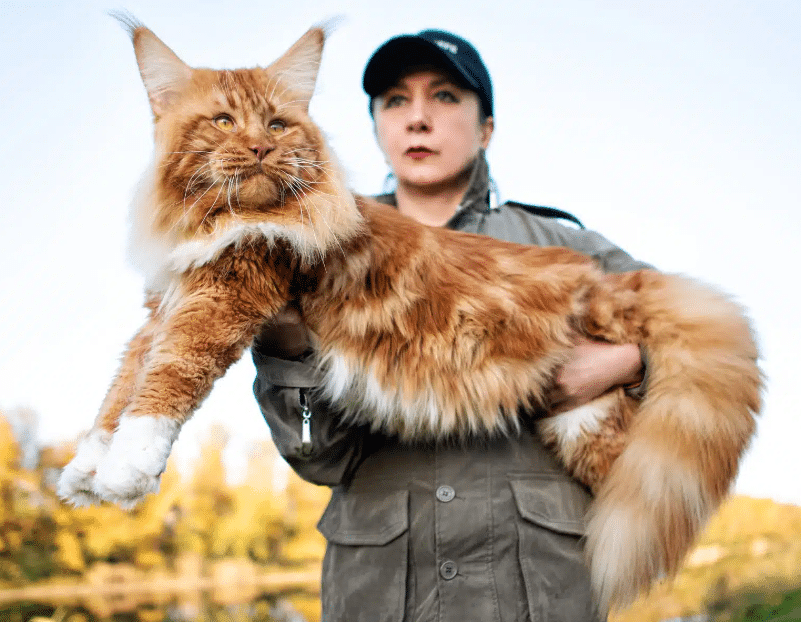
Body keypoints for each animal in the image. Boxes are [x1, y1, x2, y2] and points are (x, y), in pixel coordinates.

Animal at [59, 18, 760, 608]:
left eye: (278, 126)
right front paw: (86, 466)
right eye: (225, 121)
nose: (259, 149)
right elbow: (123, 381)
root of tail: (605, 277)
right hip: (584, 427)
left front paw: (125, 469)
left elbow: (168, 376)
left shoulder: (231, 286)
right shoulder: (168, 297)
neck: (217, 221)